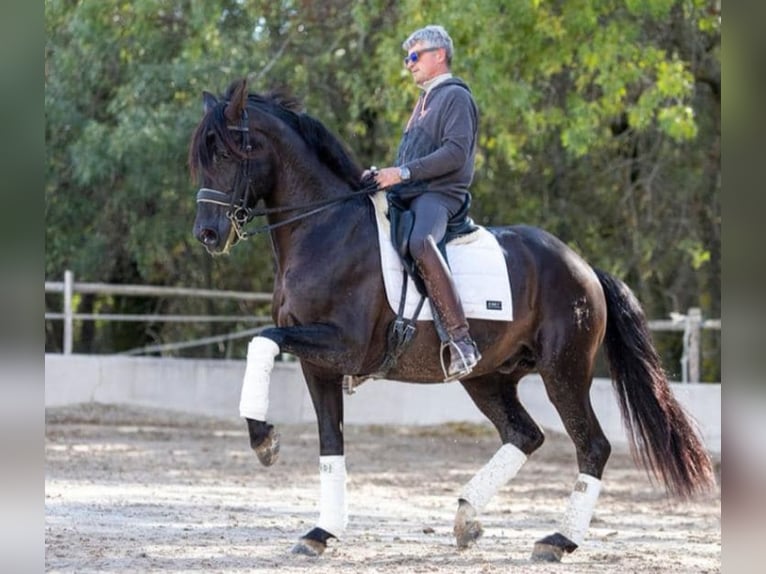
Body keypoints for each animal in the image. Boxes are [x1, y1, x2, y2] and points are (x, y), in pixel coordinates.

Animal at [189, 78, 715, 561]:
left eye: (230, 154)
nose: (208, 235)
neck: (325, 228)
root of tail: (583, 266)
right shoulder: (318, 363)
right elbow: (329, 441)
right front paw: (320, 531)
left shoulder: (343, 346)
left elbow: (261, 340)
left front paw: (264, 441)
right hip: (488, 376)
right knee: (524, 434)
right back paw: (467, 517)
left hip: (563, 371)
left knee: (592, 446)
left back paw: (557, 541)